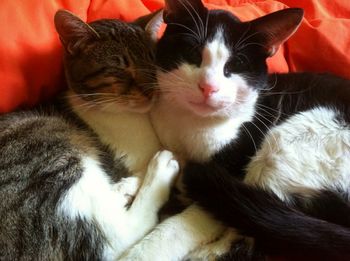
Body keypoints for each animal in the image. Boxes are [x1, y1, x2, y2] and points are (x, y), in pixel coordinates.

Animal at [0, 9, 179, 258]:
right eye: (119, 67)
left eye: (152, 59)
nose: (150, 89)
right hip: (51, 152)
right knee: (114, 239)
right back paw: (157, 170)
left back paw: (124, 189)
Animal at [120, 1, 350, 258]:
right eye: (192, 53)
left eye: (235, 65)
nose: (208, 87)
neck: (191, 123)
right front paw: (132, 182)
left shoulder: (233, 166)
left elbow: (177, 229)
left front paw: (141, 252)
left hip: (290, 144)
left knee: (261, 221)